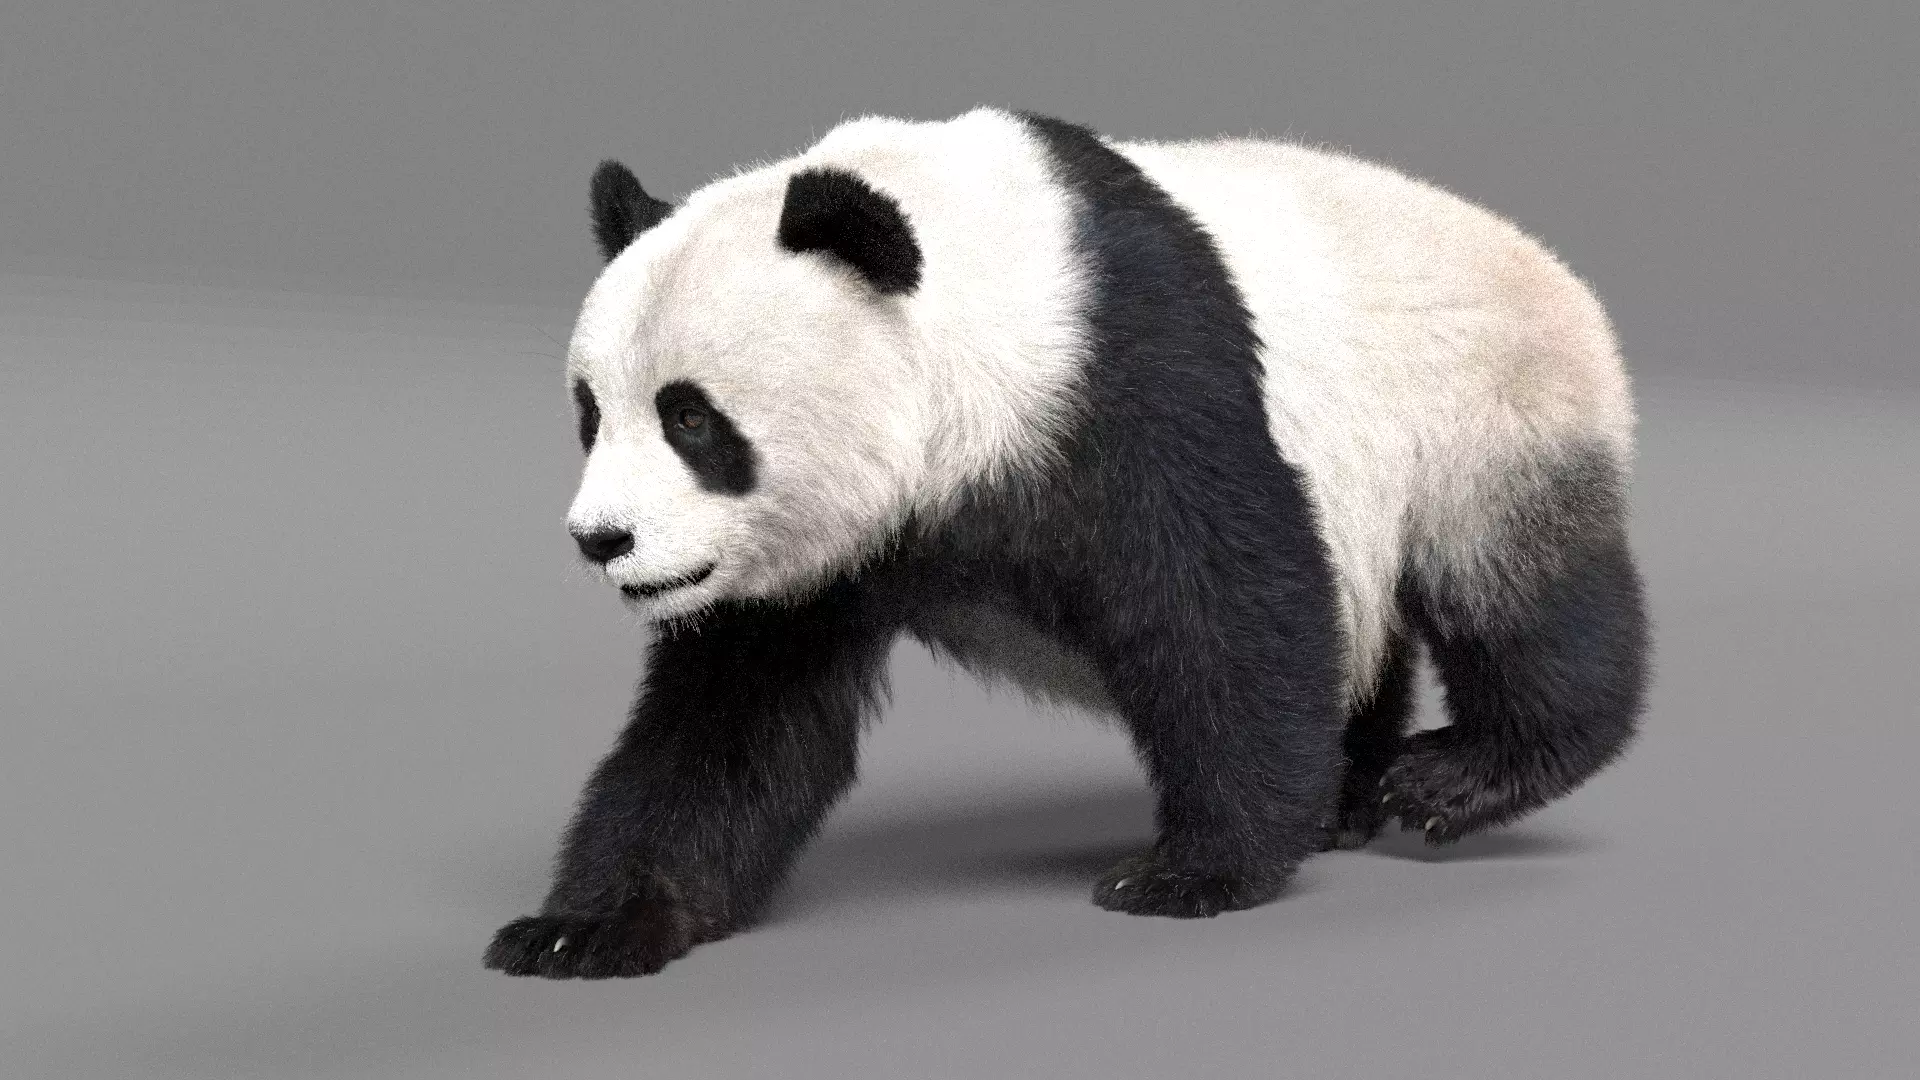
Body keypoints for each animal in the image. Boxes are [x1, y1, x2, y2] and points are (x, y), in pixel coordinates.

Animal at [485, 107, 1650, 979]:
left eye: (691, 419)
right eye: (591, 413)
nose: (603, 539)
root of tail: (1558, 273)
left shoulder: (1128, 380)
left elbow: (1227, 619)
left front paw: (1190, 872)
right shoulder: (807, 569)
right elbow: (729, 726)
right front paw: (583, 929)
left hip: (1484, 415)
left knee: (1525, 605)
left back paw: (1460, 776)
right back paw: (1349, 793)